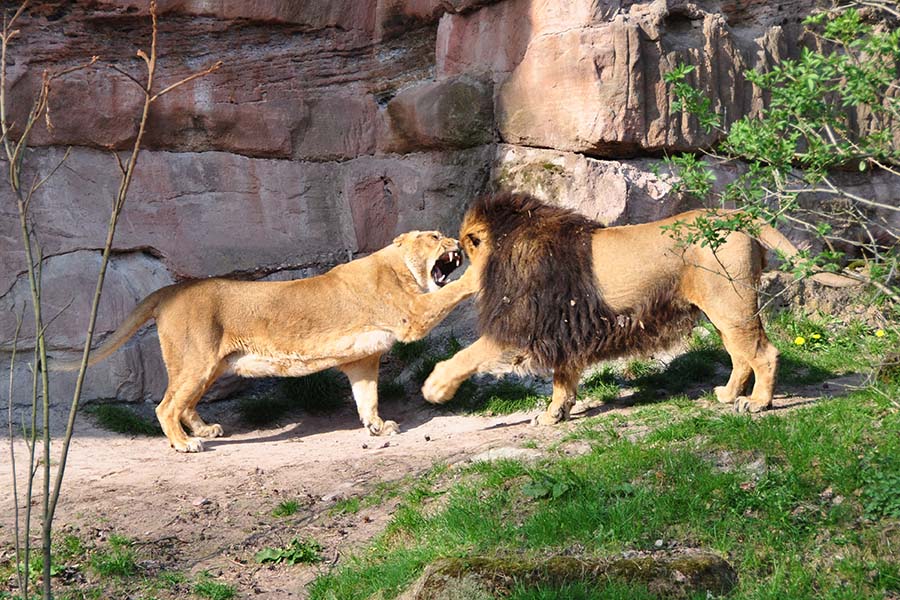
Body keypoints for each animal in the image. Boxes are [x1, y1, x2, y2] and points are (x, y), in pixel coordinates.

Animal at [55, 231, 475, 452]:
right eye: (435, 237)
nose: (456, 241)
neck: (397, 266)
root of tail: (170, 290)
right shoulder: (412, 317)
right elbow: (449, 293)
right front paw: (477, 271)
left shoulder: (361, 360)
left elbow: (367, 396)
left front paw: (376, 426)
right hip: (196, 362)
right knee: (166, 406)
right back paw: (185, 443)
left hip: (209, 366)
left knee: (183, 403)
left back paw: (204, 431)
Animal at [422, 193, 858, 424]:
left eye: (465, 251)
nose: (452, 259)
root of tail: (735, 215)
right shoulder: (565, 326)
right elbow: (563, 380)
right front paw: (553, 415)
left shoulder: (522, 321)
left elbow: (469, 353)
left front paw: (436, 387)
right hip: (722, 310)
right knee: (740, 355)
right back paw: (727, 394)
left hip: (731, 306)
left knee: (763, 354)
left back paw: (757, 403)